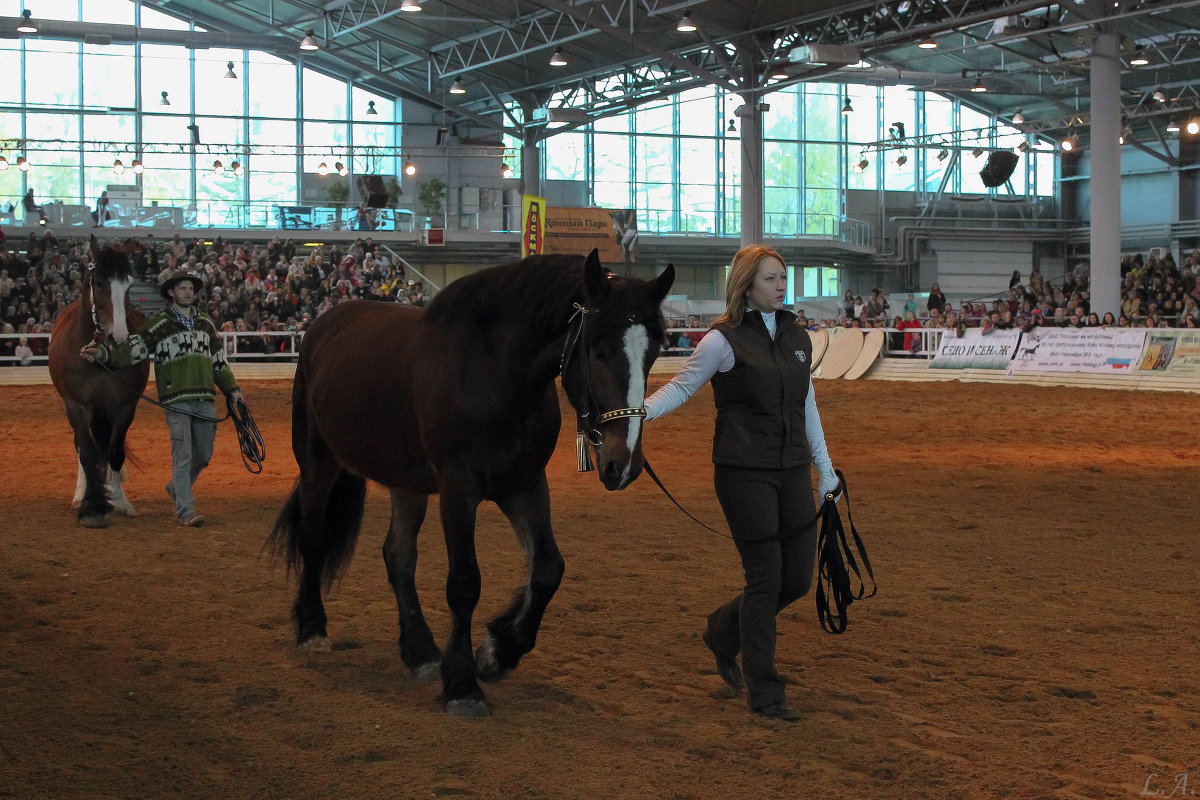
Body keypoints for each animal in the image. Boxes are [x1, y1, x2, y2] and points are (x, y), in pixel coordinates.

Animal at [48, 236, 149, 525]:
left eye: (128, 285)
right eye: (100, 282)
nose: (119, 338)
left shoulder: (125, 407)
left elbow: (114, 451)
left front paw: (121, 501)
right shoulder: (77, 407)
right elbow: (87, 451)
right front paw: (91, 504)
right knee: (83, 448)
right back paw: (81, 493)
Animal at [271, 251, 676, 719]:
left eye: (653, 354)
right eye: (598, 351)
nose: (623, 464)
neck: (496, 373)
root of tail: (324, 324)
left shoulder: (524, 486)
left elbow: (548, 568)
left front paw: (499, 651)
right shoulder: (458, 491)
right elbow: (464, 583)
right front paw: (464, 685)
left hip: (407, 483)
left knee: (398, 556)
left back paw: (421, 653)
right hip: (318, 463)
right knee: (313, 537)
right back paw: (312, 630)